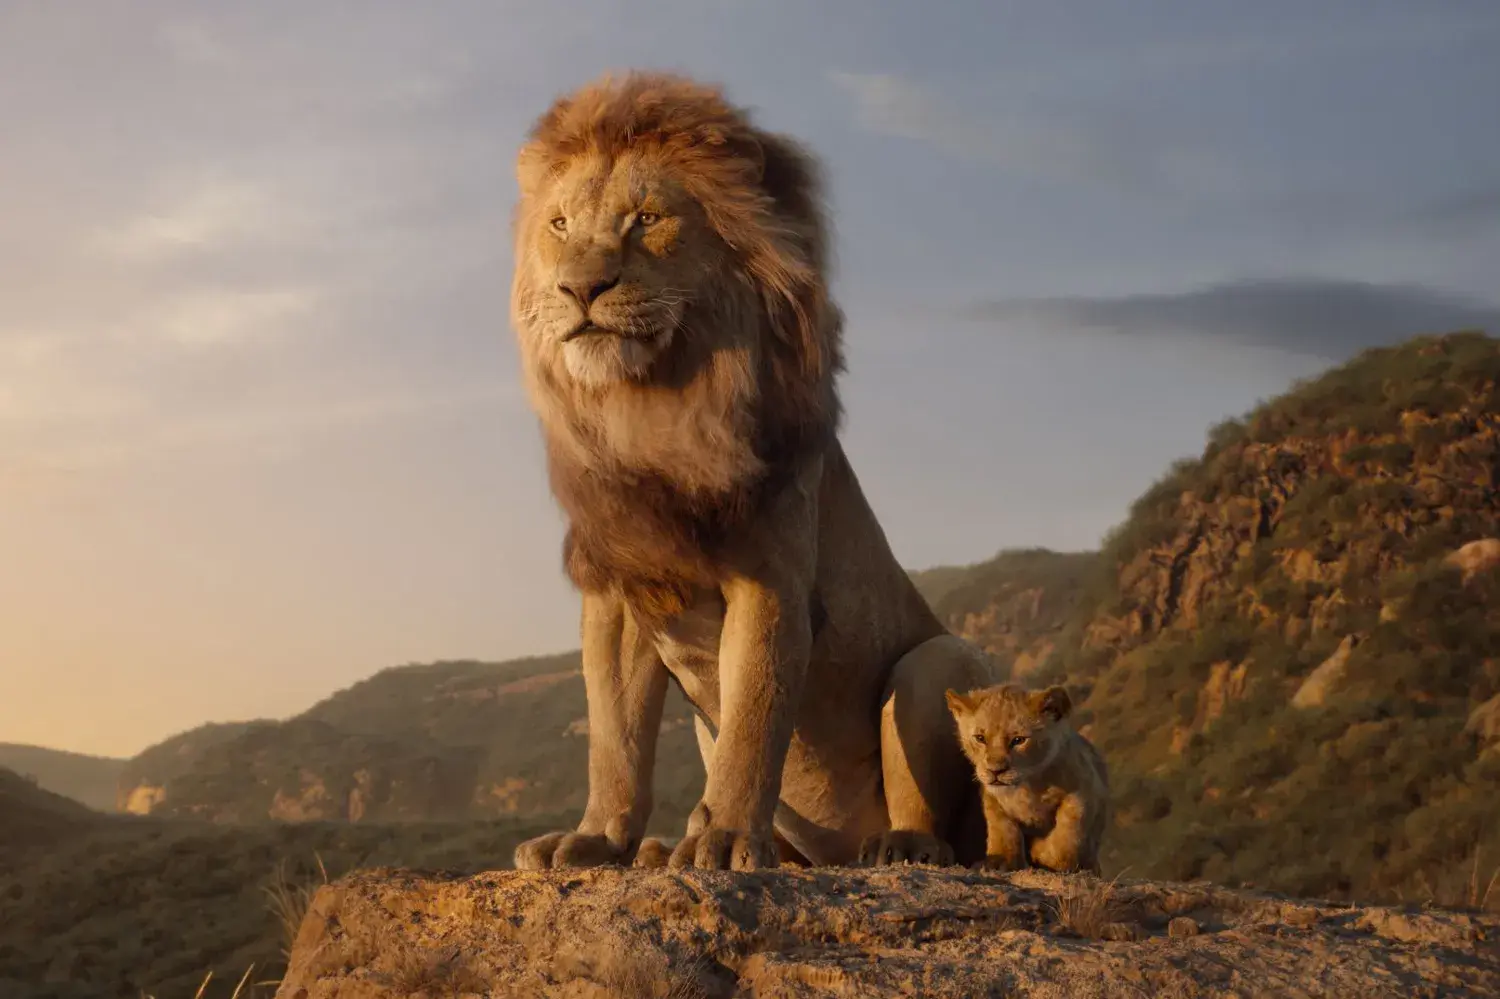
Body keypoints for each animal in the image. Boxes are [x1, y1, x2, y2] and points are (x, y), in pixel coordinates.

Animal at [507, 71, 996, 872]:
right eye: (559, 225)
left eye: (646, 219)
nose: (580, 289)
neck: (652, 410)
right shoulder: (619, 590)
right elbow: (615, 738)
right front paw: (596, 838)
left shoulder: (770, 578)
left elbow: (754, 721)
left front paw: (727, 838)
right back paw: (665, 849)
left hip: (937, 661)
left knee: (938, 816)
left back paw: (898, 846)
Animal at [945, 683, 1111, 874]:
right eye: (980, 738)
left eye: (1018, 740)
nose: (995, 770)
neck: (1027, 785)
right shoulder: (992, 798)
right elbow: (1002, 828)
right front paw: (999, 861)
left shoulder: (1084, 789)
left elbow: (1068, 828)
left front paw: (1045, 854)